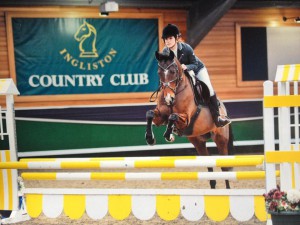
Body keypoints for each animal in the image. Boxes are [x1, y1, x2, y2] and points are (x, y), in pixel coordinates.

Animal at [145, 50, 234, 188]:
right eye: (159, 73)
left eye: (173, 71)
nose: (168, 99)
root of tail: (224, 110)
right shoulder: (160, 116)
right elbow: (149, 114)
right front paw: (150, 138)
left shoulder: (186, 118)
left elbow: (173, 116)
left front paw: (169, 135)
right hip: (198, 141)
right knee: (209, 167)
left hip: (221, 138)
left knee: (225, 168)